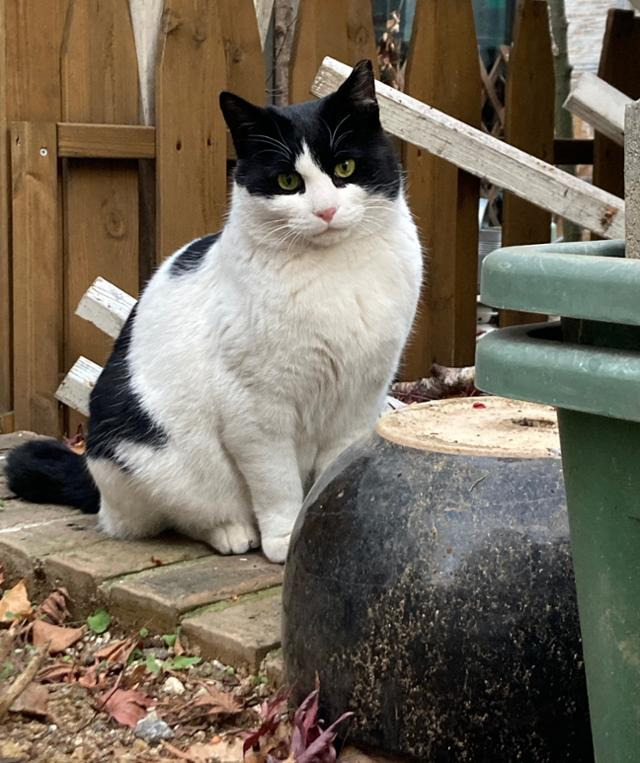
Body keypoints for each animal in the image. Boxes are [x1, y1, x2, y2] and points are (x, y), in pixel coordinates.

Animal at [8, 59, 424, 564]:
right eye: (288, 181)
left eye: (345, 167)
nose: (325, 211)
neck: (336, 274)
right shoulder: (255, 411)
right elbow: (277, 483)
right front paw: (286, 539)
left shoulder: (360, 401)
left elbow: (333, 475)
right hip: (145, 451)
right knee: (176, 516)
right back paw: (232, 531)